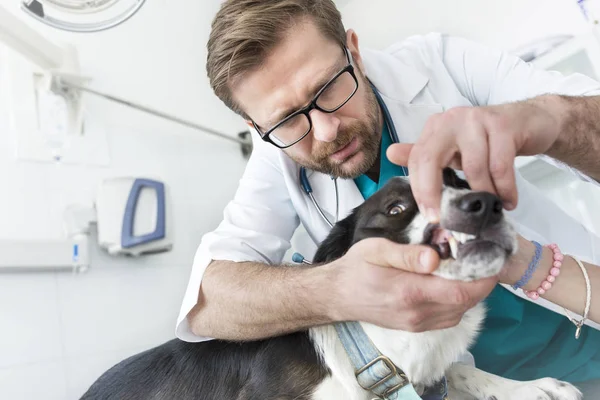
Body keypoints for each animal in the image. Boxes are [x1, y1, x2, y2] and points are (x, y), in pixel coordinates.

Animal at [79, 169, 580, 400]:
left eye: (459, 180)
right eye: (396, 209)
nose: (486, 203)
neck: (381, 350)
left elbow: (459, 369)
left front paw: (532, 388)